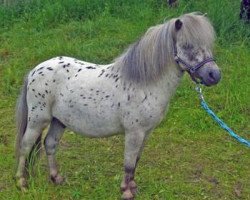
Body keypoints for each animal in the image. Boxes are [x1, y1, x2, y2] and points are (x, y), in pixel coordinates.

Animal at [15, 12, 220, 198]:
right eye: (187, 45)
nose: (214, 75)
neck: (143, 84)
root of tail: (34, 70)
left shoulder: (146, 132)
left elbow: (136, 160)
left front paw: (133, 187)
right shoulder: (134, 133)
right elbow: (129, 163)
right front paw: (126, 192)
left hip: (59, 121)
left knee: (50, 144)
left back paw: (56, 178)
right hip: (38, 120)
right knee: (25, 146)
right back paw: (22, 182)